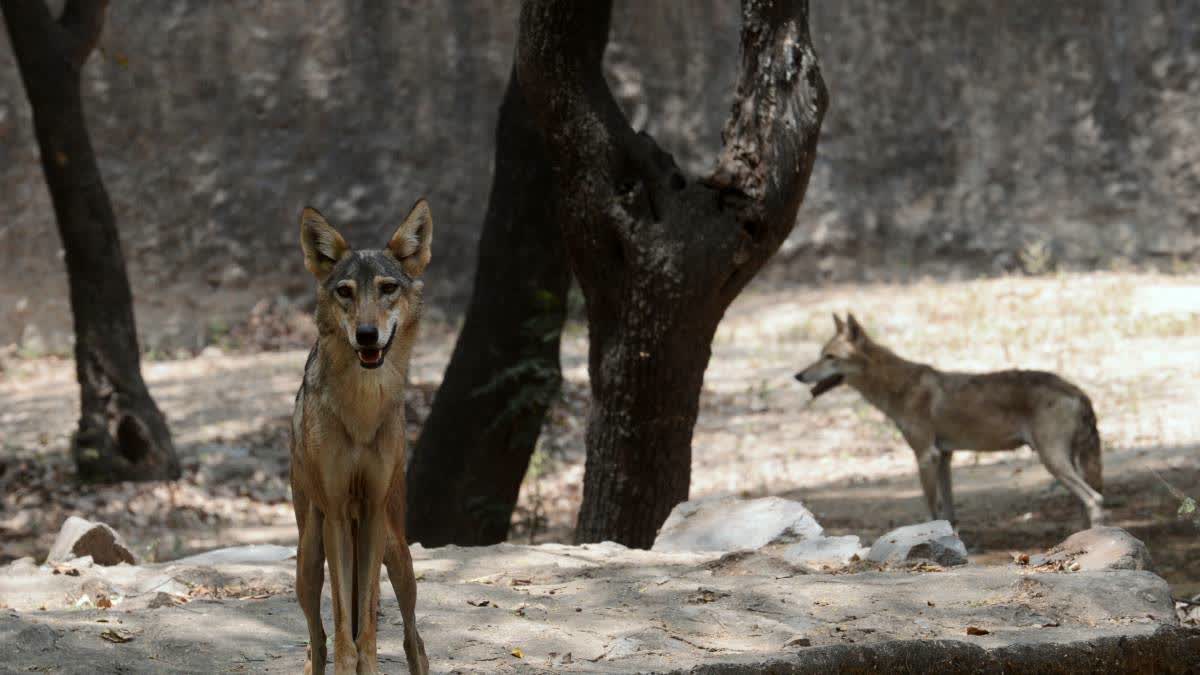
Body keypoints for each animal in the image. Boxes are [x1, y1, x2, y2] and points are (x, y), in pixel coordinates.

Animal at [290, 200, 432, 672]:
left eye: (388, 289)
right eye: (345, 292)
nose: (367, 335)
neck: (362, 410)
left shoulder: (370, 512)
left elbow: (366, 628)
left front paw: (367, 664)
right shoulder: (336, 514)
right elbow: (342, 632)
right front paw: (347, 662)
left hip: (397, 551)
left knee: (413, 639)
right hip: (308, 558)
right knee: (316, 639)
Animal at [796, 312, 1104, 528]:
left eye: (830, 357)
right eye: (820, 355)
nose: (798, 375)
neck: (900, 387)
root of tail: (1078, 391)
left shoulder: (926, 456)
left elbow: (932, 510)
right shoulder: (944, 457)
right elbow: (950, 515)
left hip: (1052, 461)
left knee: (1095, 500)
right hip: (1066, 463)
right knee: (1087, 503)